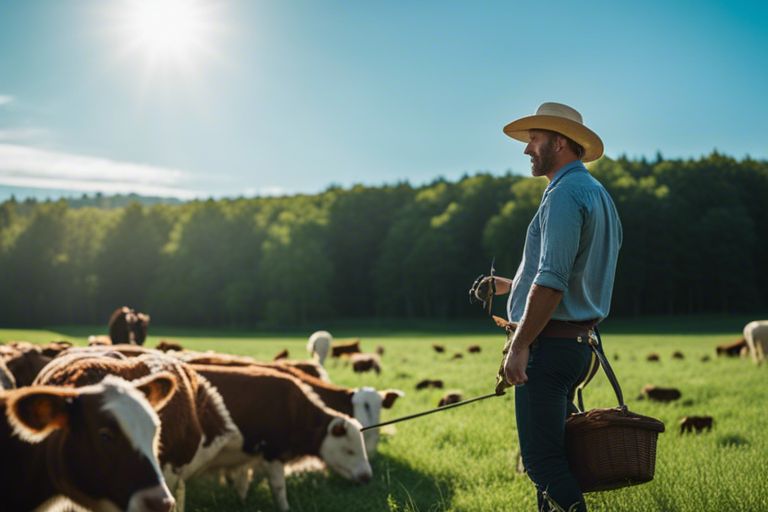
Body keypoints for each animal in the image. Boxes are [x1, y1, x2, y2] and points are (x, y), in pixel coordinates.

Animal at [191, 366, 372, 510]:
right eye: (349, 451)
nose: (367, 477)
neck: (294, 411)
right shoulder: (272, 453)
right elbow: (278, 487)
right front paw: (284, 508)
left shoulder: (246, 456)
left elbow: (243, 483)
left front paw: (242, 502)